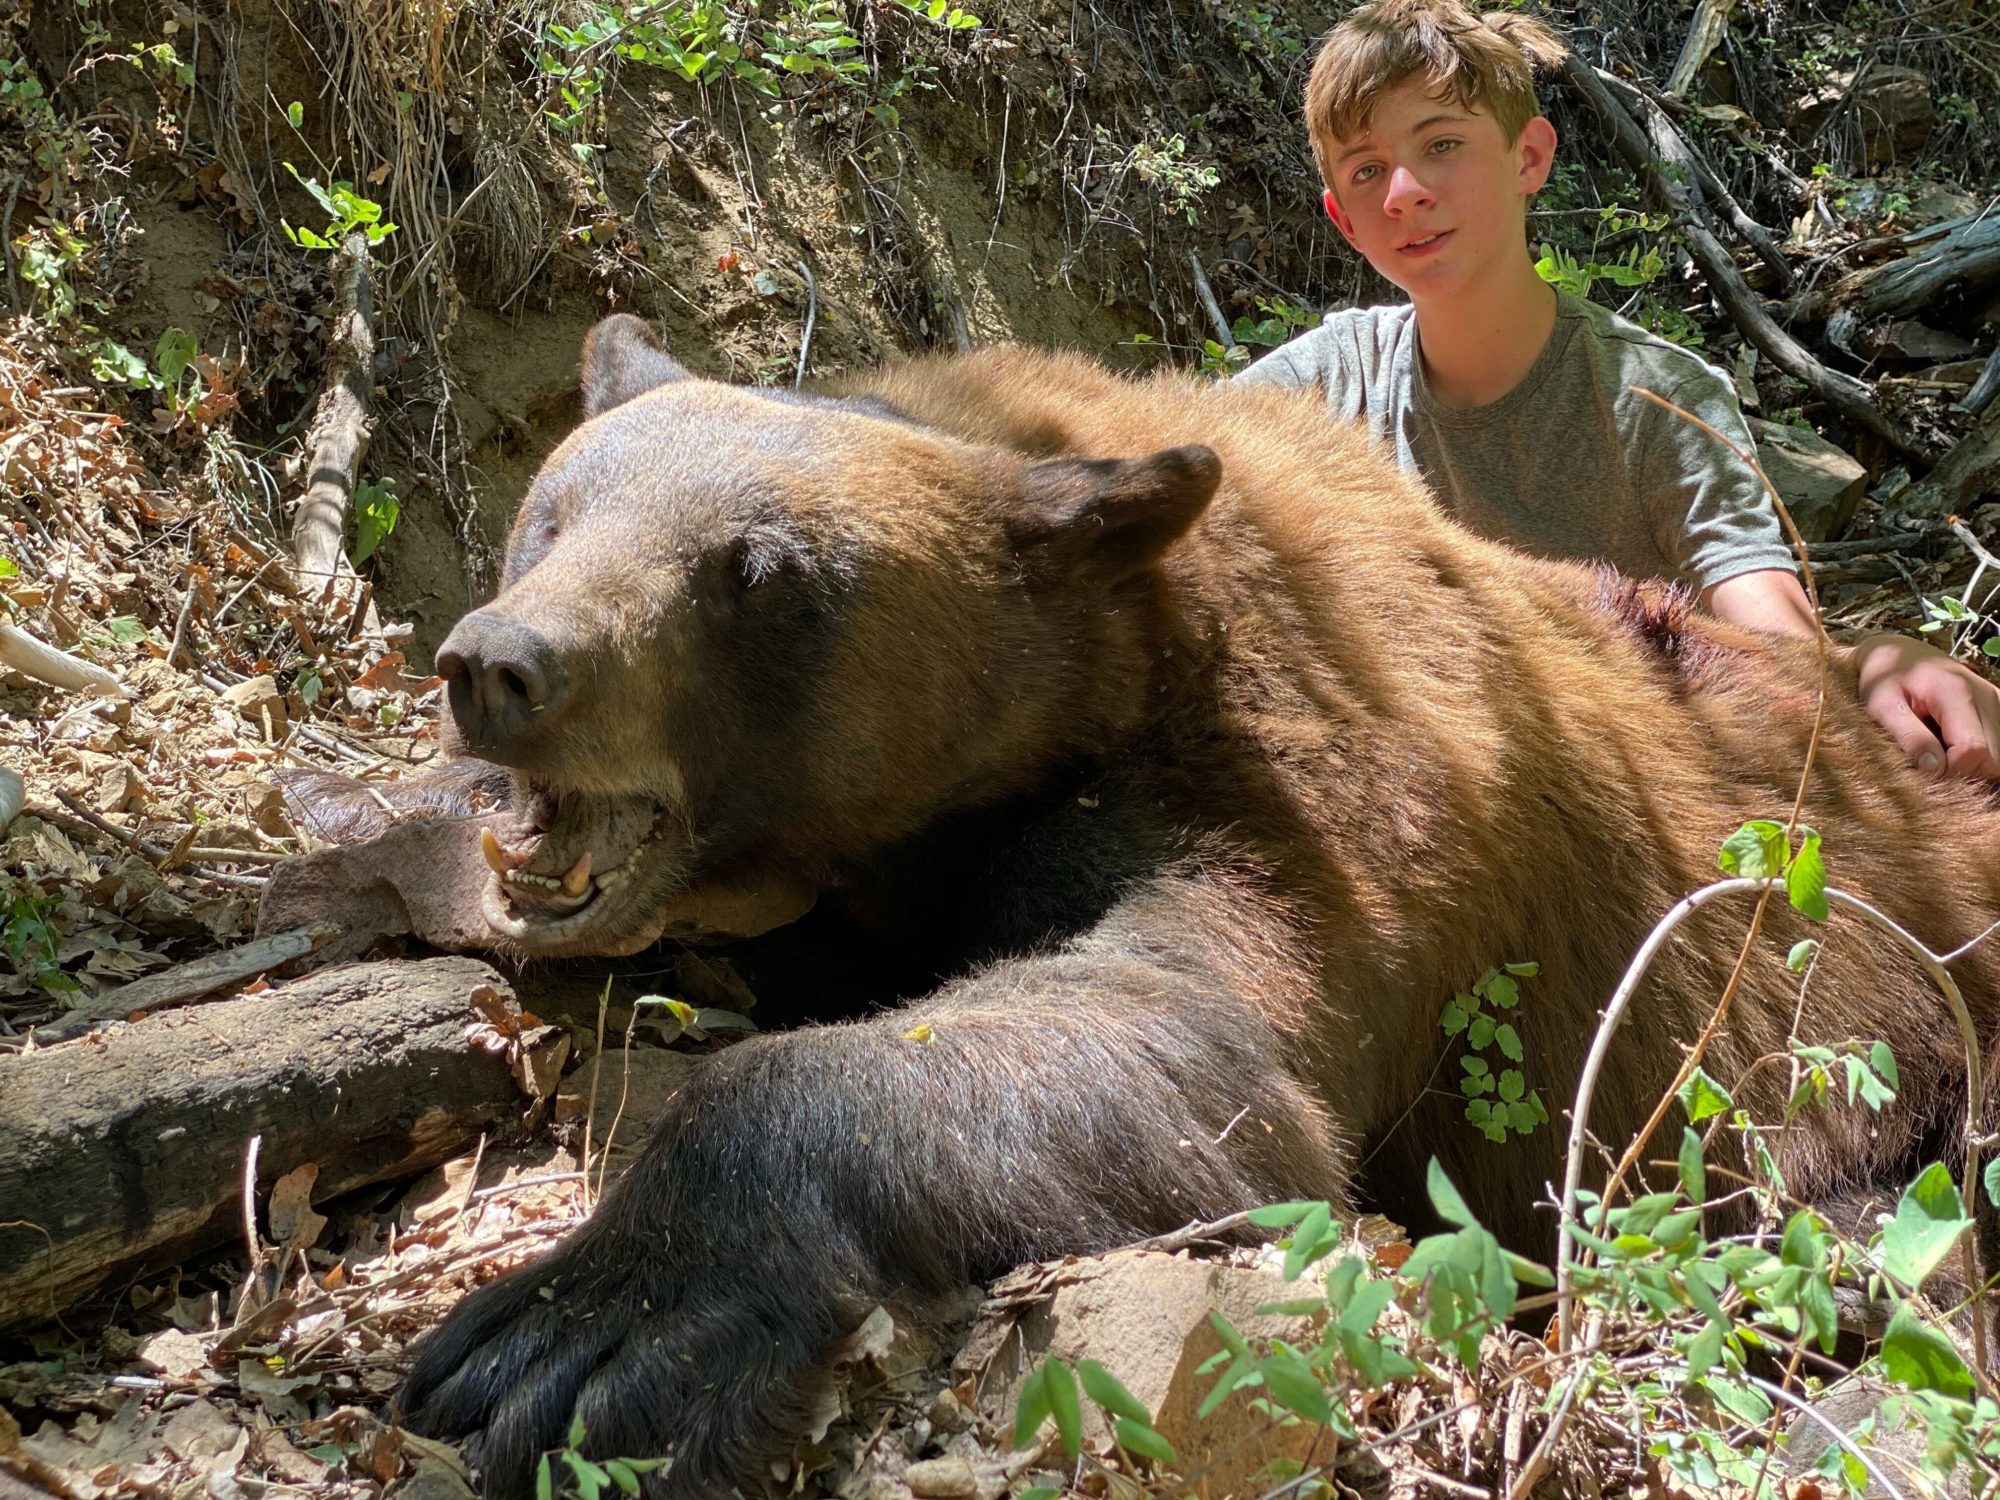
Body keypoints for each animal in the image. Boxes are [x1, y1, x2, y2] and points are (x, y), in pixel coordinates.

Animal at [368, 318, 1992, 1500]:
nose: (504, 665)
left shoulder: (1314, 813)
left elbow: (1198, 1056)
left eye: (759, 573)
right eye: (557, 506)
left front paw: (584, 1331)